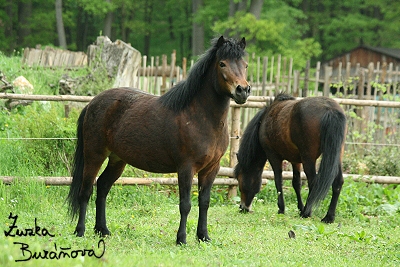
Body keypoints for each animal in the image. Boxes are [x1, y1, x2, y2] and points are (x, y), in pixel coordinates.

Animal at [68, 36, 250, 246]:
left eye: (245, 64)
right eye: (222, 63)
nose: (243, 90)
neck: (200, 117)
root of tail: (92, 103)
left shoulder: (212, 168)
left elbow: (204, 202)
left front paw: (203, 236)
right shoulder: (186, 168)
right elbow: (185, 204)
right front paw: (181, 239)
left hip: (117, 160)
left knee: (103, 187)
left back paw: (102, 230)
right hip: (94, 155)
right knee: (86, 190)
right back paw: (80, 231)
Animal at [234, 93, 346, 223]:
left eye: (239, 178)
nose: (242, 207)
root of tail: (330, 109)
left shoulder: (273, 156)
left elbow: (278, 181)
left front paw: (281, 208)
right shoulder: (295, 160)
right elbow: (296, 183)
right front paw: (300, 208)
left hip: (309, 158)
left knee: (313, 182)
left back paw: (307, 212)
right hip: (336, 155)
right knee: (338, 182)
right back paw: (329, 216)